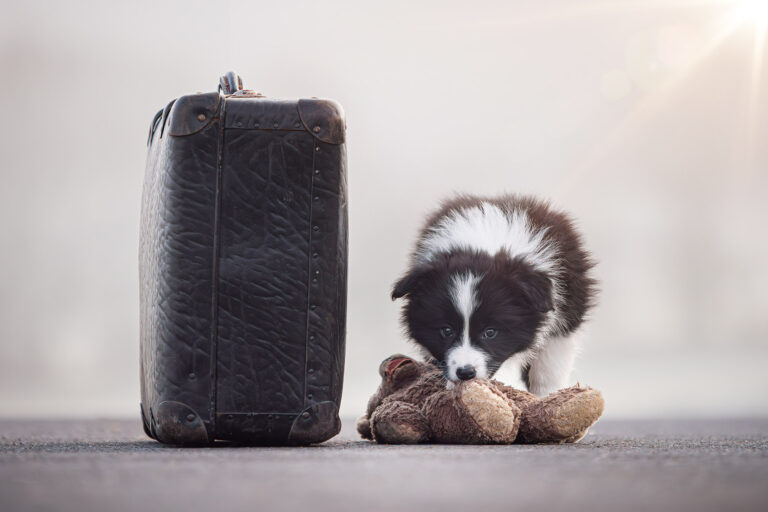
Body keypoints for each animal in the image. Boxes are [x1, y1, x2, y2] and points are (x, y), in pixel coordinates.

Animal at [392, 194, 596, 394]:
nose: (466, 373)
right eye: (446, 330)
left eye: (490, 332)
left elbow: (547, 364)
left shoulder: (565, 320)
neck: (482, 243)